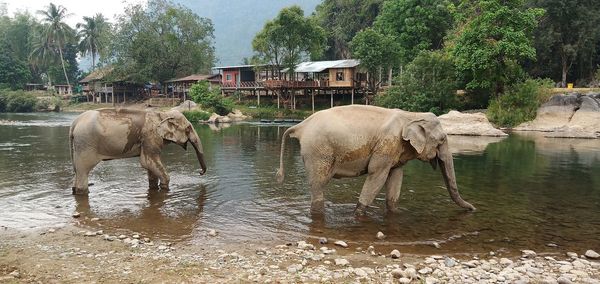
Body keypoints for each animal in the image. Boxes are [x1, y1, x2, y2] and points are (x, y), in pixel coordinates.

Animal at [69, 107, 206, 194]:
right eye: (188, 128)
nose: (200, 173)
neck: (162, 114)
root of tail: (74, 123)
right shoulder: (150, 136)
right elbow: (147, 162)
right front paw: (165, 188)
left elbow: (150, 167)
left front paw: (154, 188)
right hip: (85, 144)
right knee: (83, 171)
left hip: (78, 146)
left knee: (77, 171)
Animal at [274, 105, 476, 215]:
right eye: (441, 140)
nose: (474, 209)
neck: (411, 115)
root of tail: (301, 125)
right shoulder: (386, 146)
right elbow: (377, 175)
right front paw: (358, 214)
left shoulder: (396, 151)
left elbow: (395, 178)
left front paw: (395, 212)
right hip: (318, 152)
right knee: (318, 184)